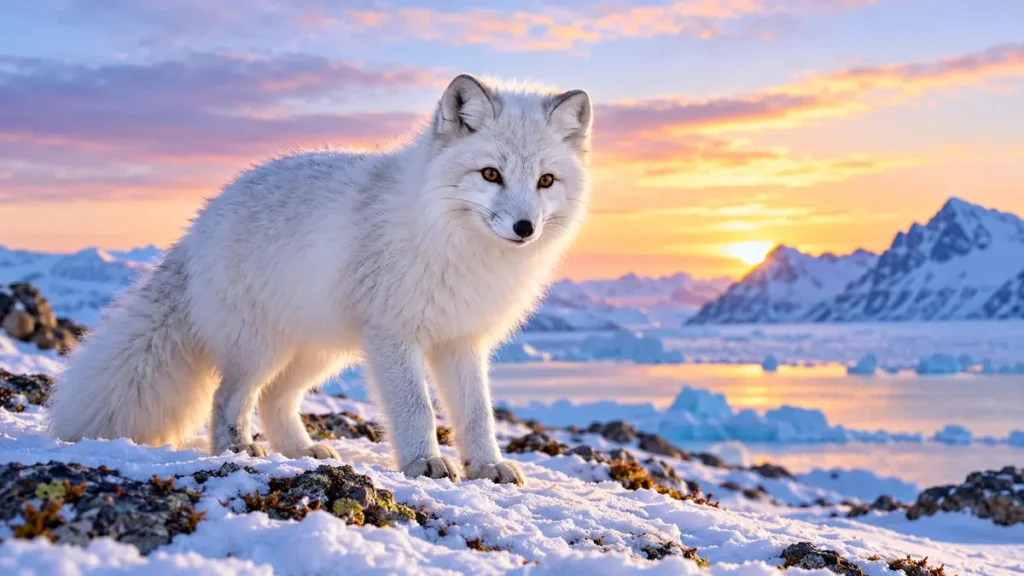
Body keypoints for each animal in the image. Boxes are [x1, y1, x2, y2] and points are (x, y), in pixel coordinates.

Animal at [45, 74, 592, 486]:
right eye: (490, 174)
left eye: (545, 181)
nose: (525, 228)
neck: (456, 244)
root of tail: (197, 226)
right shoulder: (392, 334)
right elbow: (415, 407)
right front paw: (424, 463)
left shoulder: (461, 340)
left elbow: (478, 414)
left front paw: (486, 467)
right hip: (263, 347)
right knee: (229, 397)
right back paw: (238, 451)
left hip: (317, 352)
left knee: (273, 399)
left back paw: (303, 450)